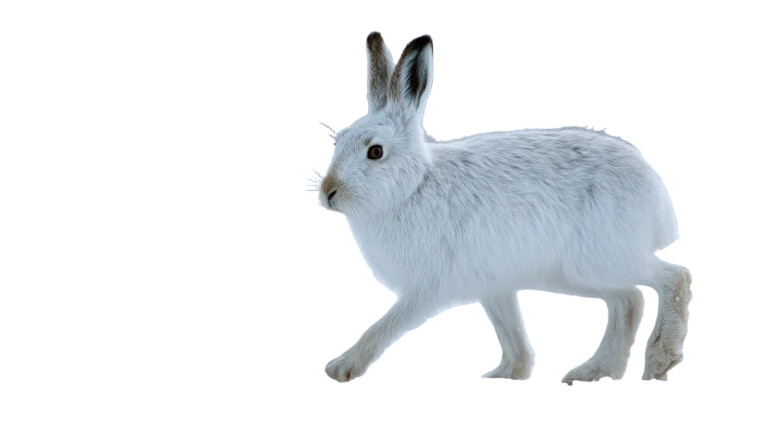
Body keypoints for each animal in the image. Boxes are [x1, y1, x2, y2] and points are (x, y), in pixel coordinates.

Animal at [316, 32, 691, 384]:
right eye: (338, 141)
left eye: (375, 152)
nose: (327, 193)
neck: (414, 186)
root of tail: (657, 194)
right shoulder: (494, 287)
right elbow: (511, 334)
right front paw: (507, 375)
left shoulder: (428, 287)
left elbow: (385, 325)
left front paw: (341, 368)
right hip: (576, 274)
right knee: (629, 301)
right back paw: (593, 372)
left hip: (600, 260)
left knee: (673, 279)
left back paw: (659, 361)